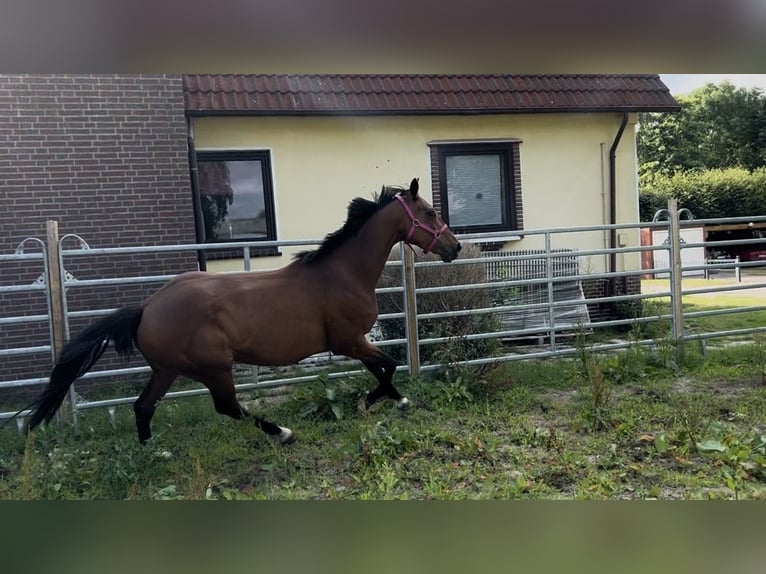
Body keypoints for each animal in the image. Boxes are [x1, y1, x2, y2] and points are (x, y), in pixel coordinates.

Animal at [24, 178, 461, 445]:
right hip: (213, 366)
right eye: (430, 213)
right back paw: (282, 432)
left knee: (144, 406)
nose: (454, 247)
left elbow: (382, 367)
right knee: (227, 407)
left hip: (167, 369)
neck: (343, 273)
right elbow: (387, 365)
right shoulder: (348, 340)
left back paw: (153, 452)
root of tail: (147, 307)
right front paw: (382, 401)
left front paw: (386, 400)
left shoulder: (353, 342)